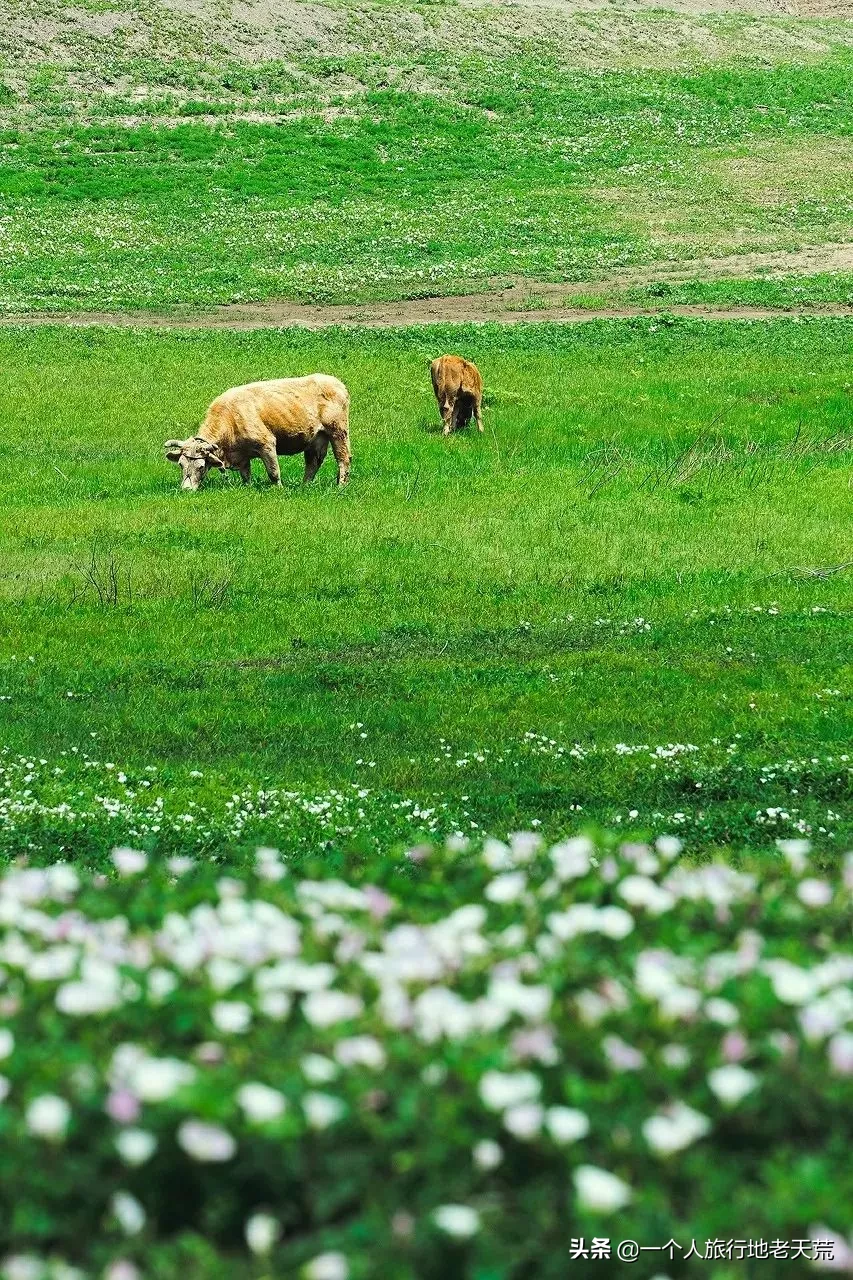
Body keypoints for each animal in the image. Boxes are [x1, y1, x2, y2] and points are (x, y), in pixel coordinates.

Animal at [162, 373, 348, 488]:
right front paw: (248, 487)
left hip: (338, 432)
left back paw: (341, 485)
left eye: (201, 467)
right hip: (317, 439)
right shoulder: (242, 456)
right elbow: (246, 475)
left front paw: (279, 489)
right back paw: (305, 486)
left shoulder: (267, 444)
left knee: (343, 459)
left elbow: (273, 472)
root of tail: (337, 383)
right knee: (313, 462)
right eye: (181, 464)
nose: (186, 489)